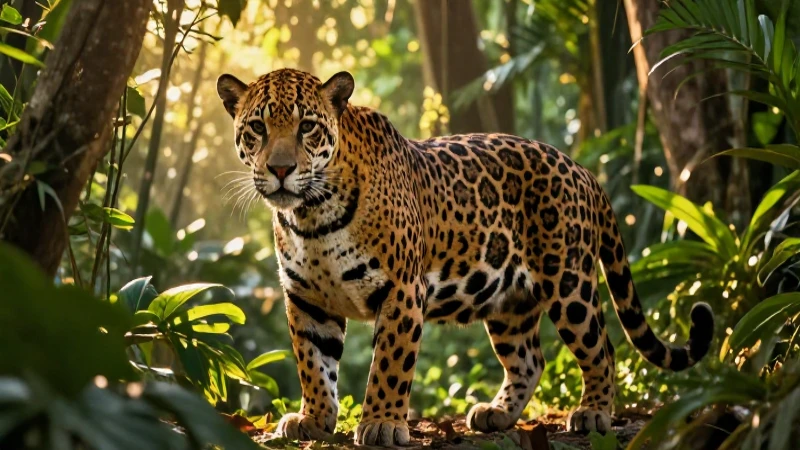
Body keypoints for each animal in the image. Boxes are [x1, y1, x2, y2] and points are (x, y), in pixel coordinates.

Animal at [216, 68, 714, 446]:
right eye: (257, 128)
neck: (311, 215)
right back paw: (497, 413)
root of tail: (583, 170)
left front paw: (381, 423)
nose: (281, 169)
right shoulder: (306, 299)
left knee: (602, 348)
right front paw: (314, 418)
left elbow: (389, 365)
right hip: (510, 302)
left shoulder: (402, 290)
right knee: (530, 359)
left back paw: (592, 413)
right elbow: (313, 363)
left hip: (568, 283)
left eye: (307, 127)